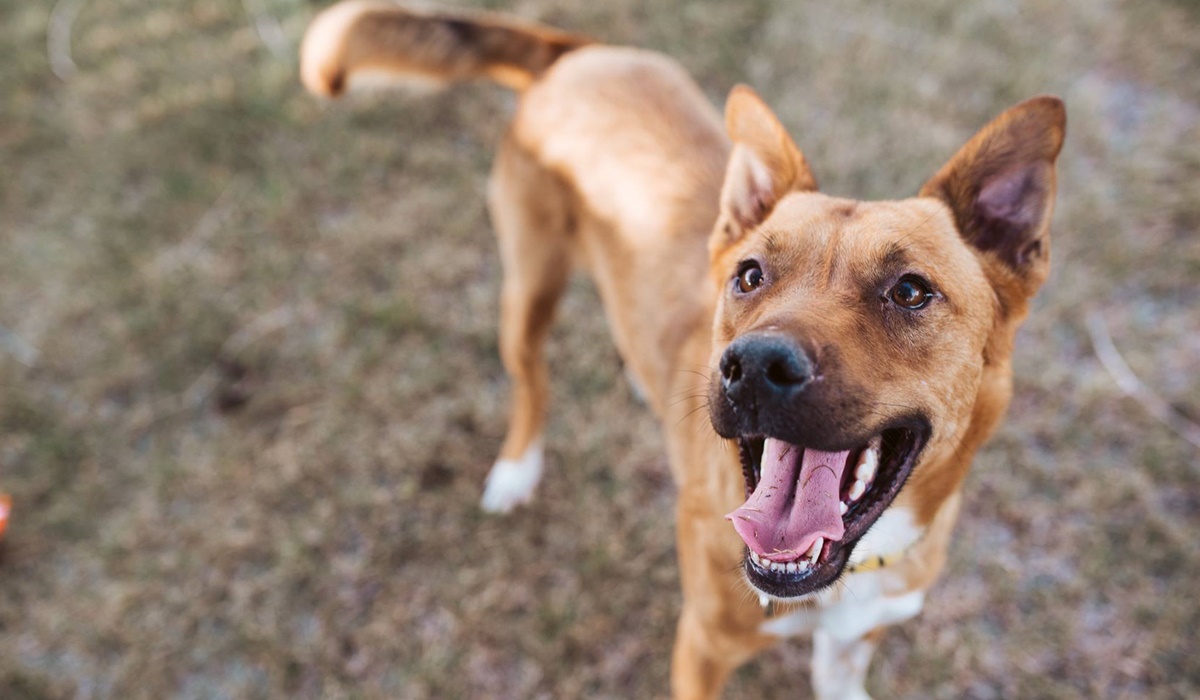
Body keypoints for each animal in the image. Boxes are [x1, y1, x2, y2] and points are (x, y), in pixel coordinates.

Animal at [302, 2, 1070, 696]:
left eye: (910, 291)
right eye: (751, 275)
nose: (753, 366)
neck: (849, 566)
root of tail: (578, 53)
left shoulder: (857, 639)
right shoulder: (702, 644)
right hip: (529, 286)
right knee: (531, 381)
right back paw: (517, 471)